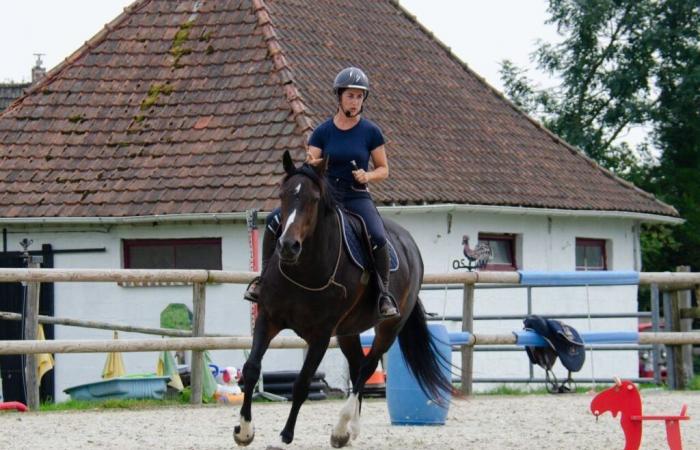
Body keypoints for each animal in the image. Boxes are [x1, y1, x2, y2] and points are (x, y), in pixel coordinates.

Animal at [232, 150, 452, 446]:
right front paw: (244, 430)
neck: (304, 270)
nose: (288, 246)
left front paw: (284, 437)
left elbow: (301, 384)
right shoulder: (268, 319)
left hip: (389, 328)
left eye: (314, 199)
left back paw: (340, 428)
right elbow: (252, 368)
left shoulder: (321, 336)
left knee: (367, 368)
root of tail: (410, 245)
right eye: (283, 195)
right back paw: (350, 429)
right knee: (358, 365)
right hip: (348, 332)